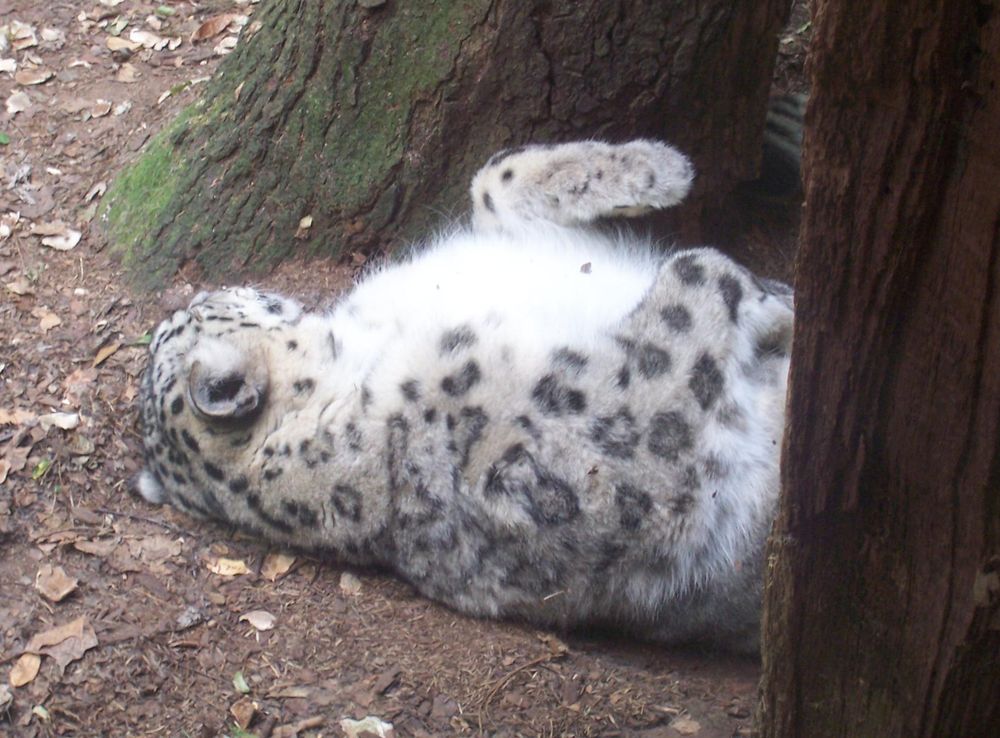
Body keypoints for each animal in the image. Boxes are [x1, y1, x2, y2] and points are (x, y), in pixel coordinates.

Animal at [137, 139, 793, 653]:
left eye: (194, 311)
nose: (200, 287)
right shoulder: (621, 448)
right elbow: (698, 270)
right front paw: (776, 303)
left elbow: (493, 176)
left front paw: (658, 168)